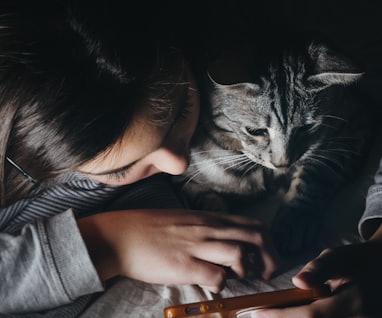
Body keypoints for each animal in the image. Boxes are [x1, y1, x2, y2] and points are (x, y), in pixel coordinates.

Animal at [177, 36, 374, 253]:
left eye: (307, 127)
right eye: (255, 131)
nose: (283, 163)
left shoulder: (353, 128)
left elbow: (316, 174)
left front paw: (294, 221)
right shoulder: (183, 177)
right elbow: (205, 202)